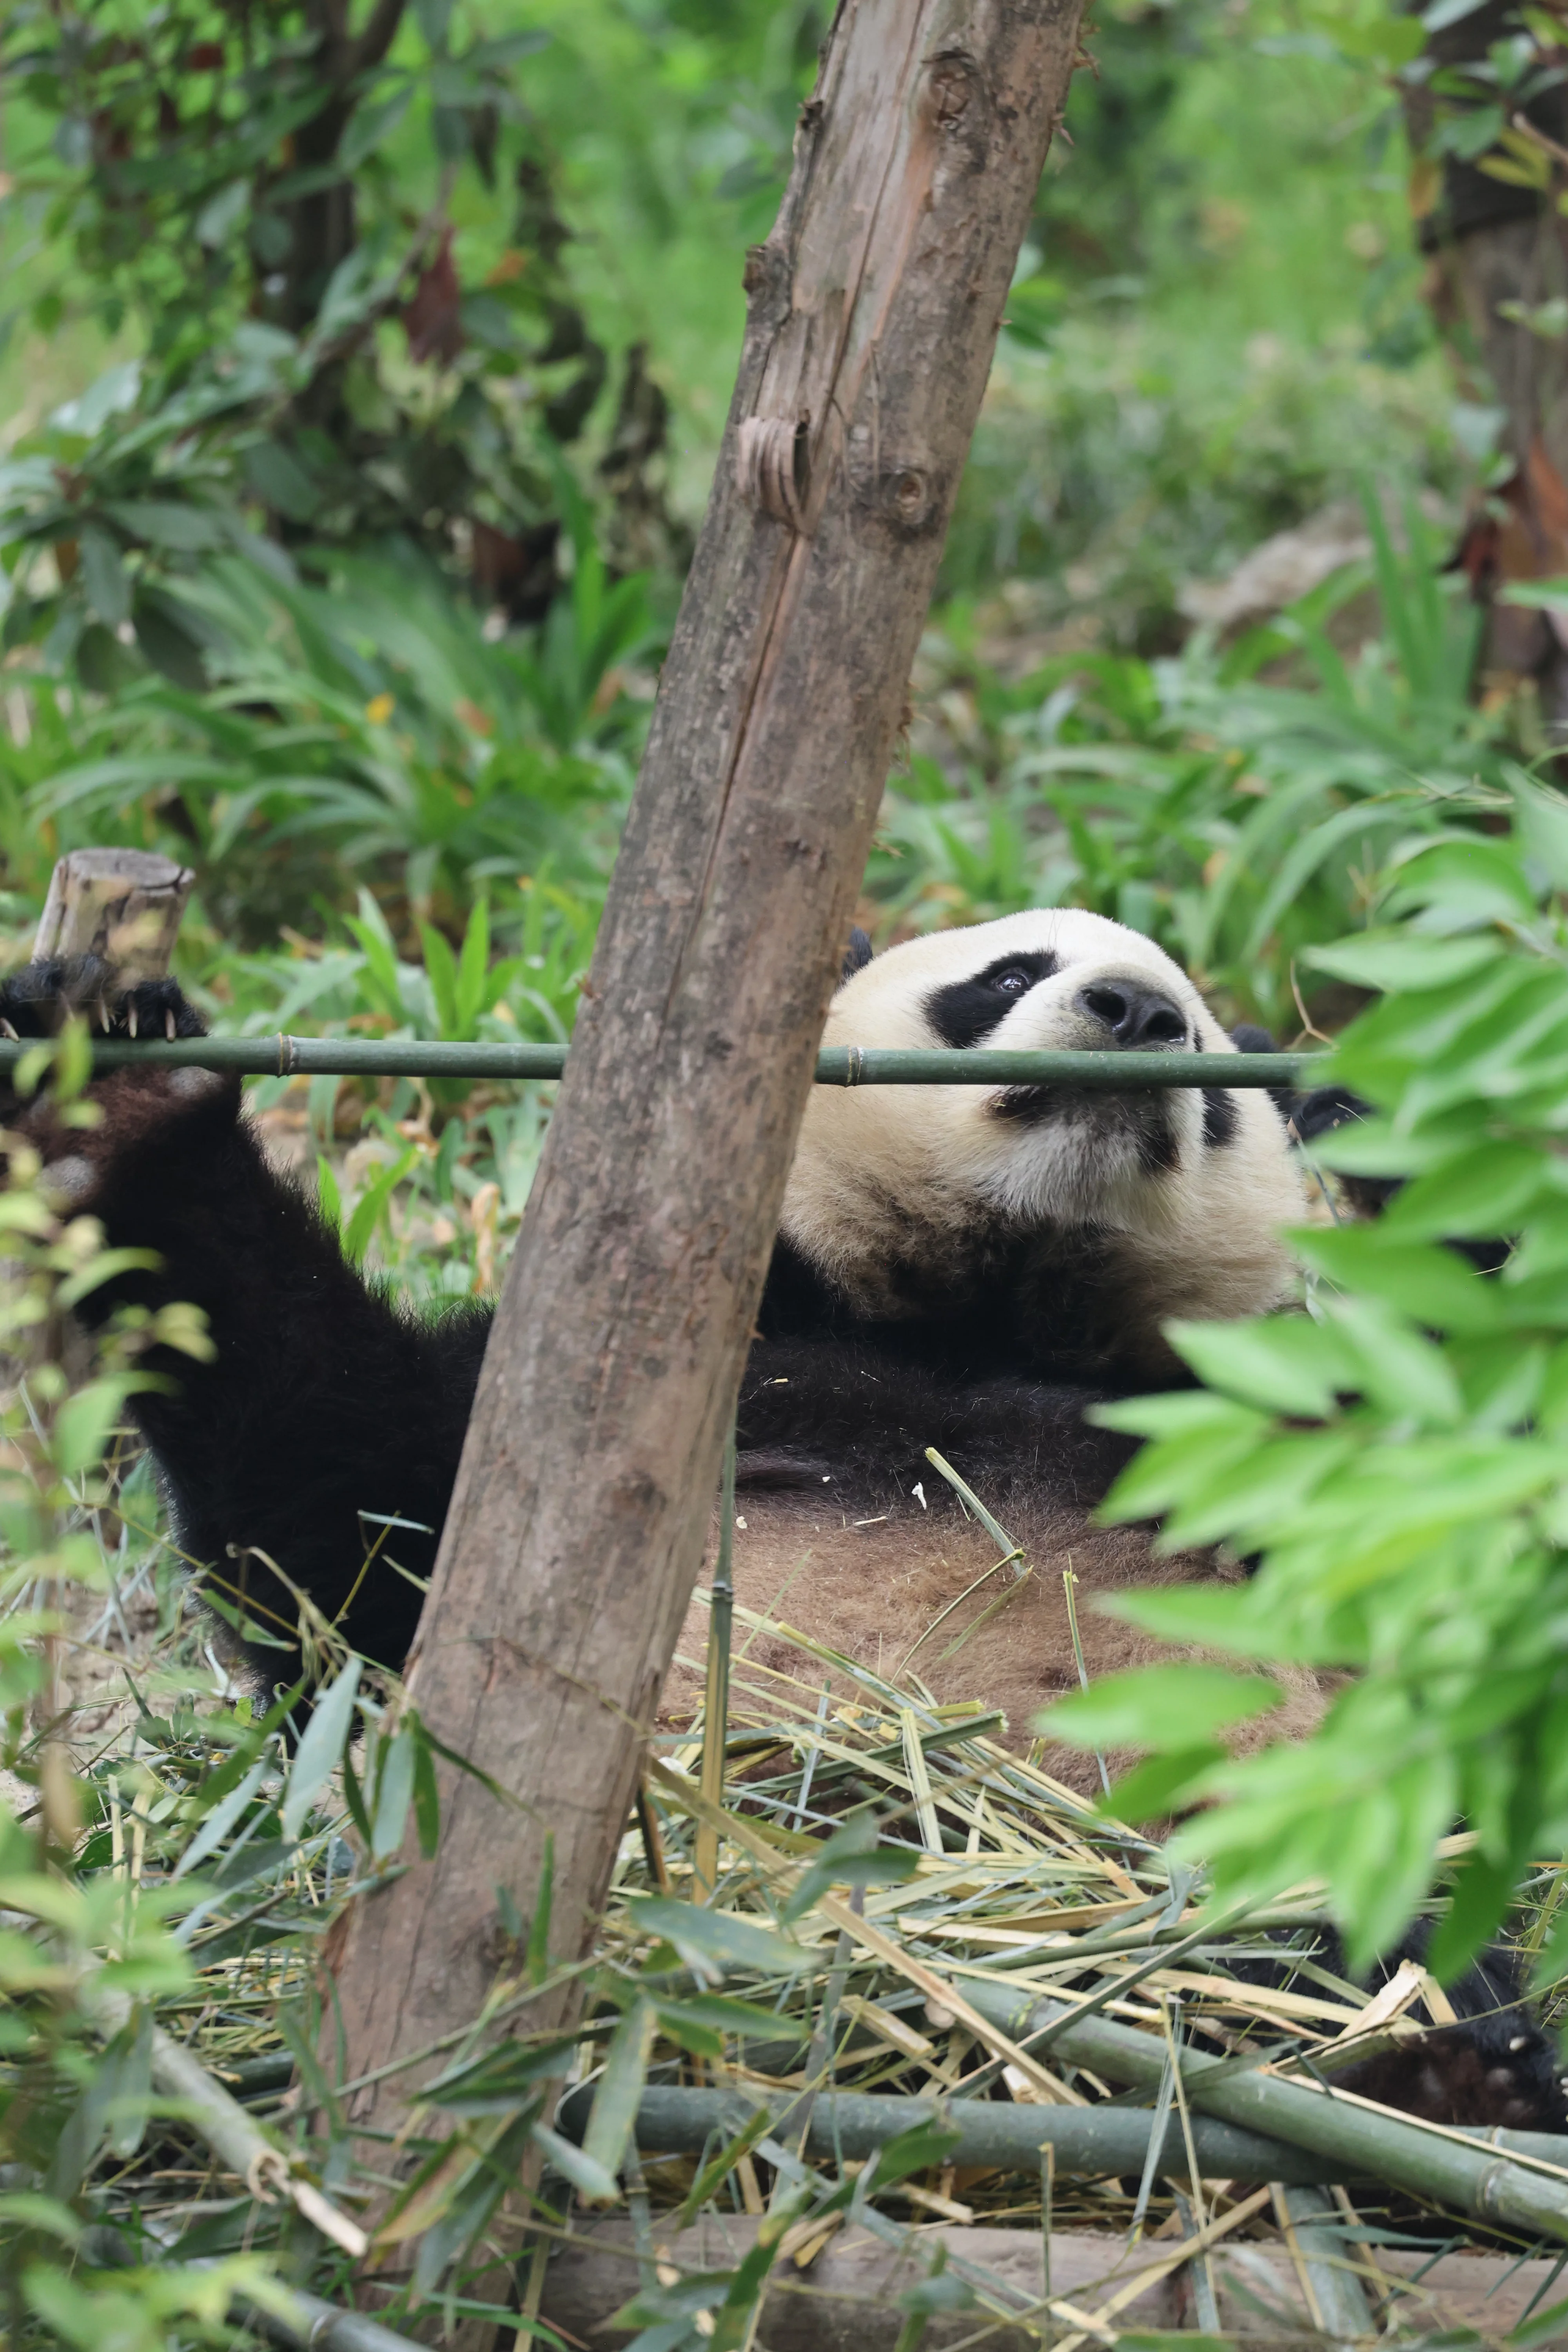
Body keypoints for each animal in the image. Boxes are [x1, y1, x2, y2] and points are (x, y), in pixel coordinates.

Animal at [1, 913, 1561, 2135]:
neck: (997, 1310)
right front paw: (126, 1089)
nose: (1131, 1012)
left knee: (1343, 1921)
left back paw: (1431, 2061)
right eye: (1006, 974)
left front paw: (1392, 1130)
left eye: (1206, 1066)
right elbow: (345, 1523)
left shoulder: (1274, 1426)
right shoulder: (656, 1367)